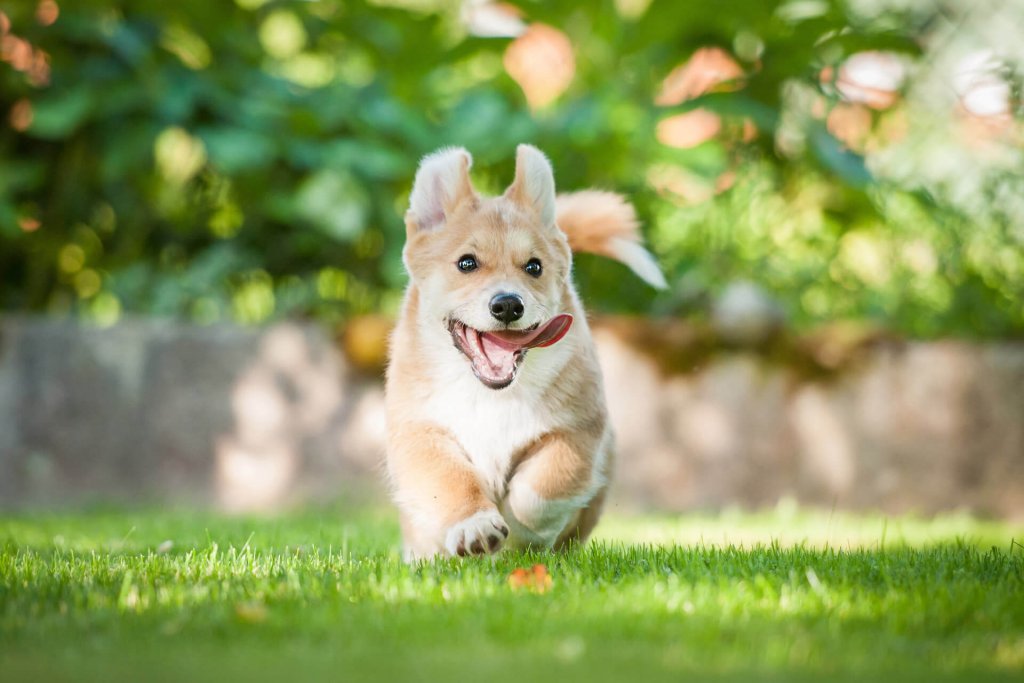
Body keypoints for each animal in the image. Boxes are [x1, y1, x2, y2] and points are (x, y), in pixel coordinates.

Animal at [385, 144, 663, 561]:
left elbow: (538, 494)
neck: (489, 395)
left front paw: (517, 538)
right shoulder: (421, 431)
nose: (507, 305)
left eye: (534, 267)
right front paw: (475, 526)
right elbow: (450, 481)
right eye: (466, 263)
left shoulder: (575, 433)